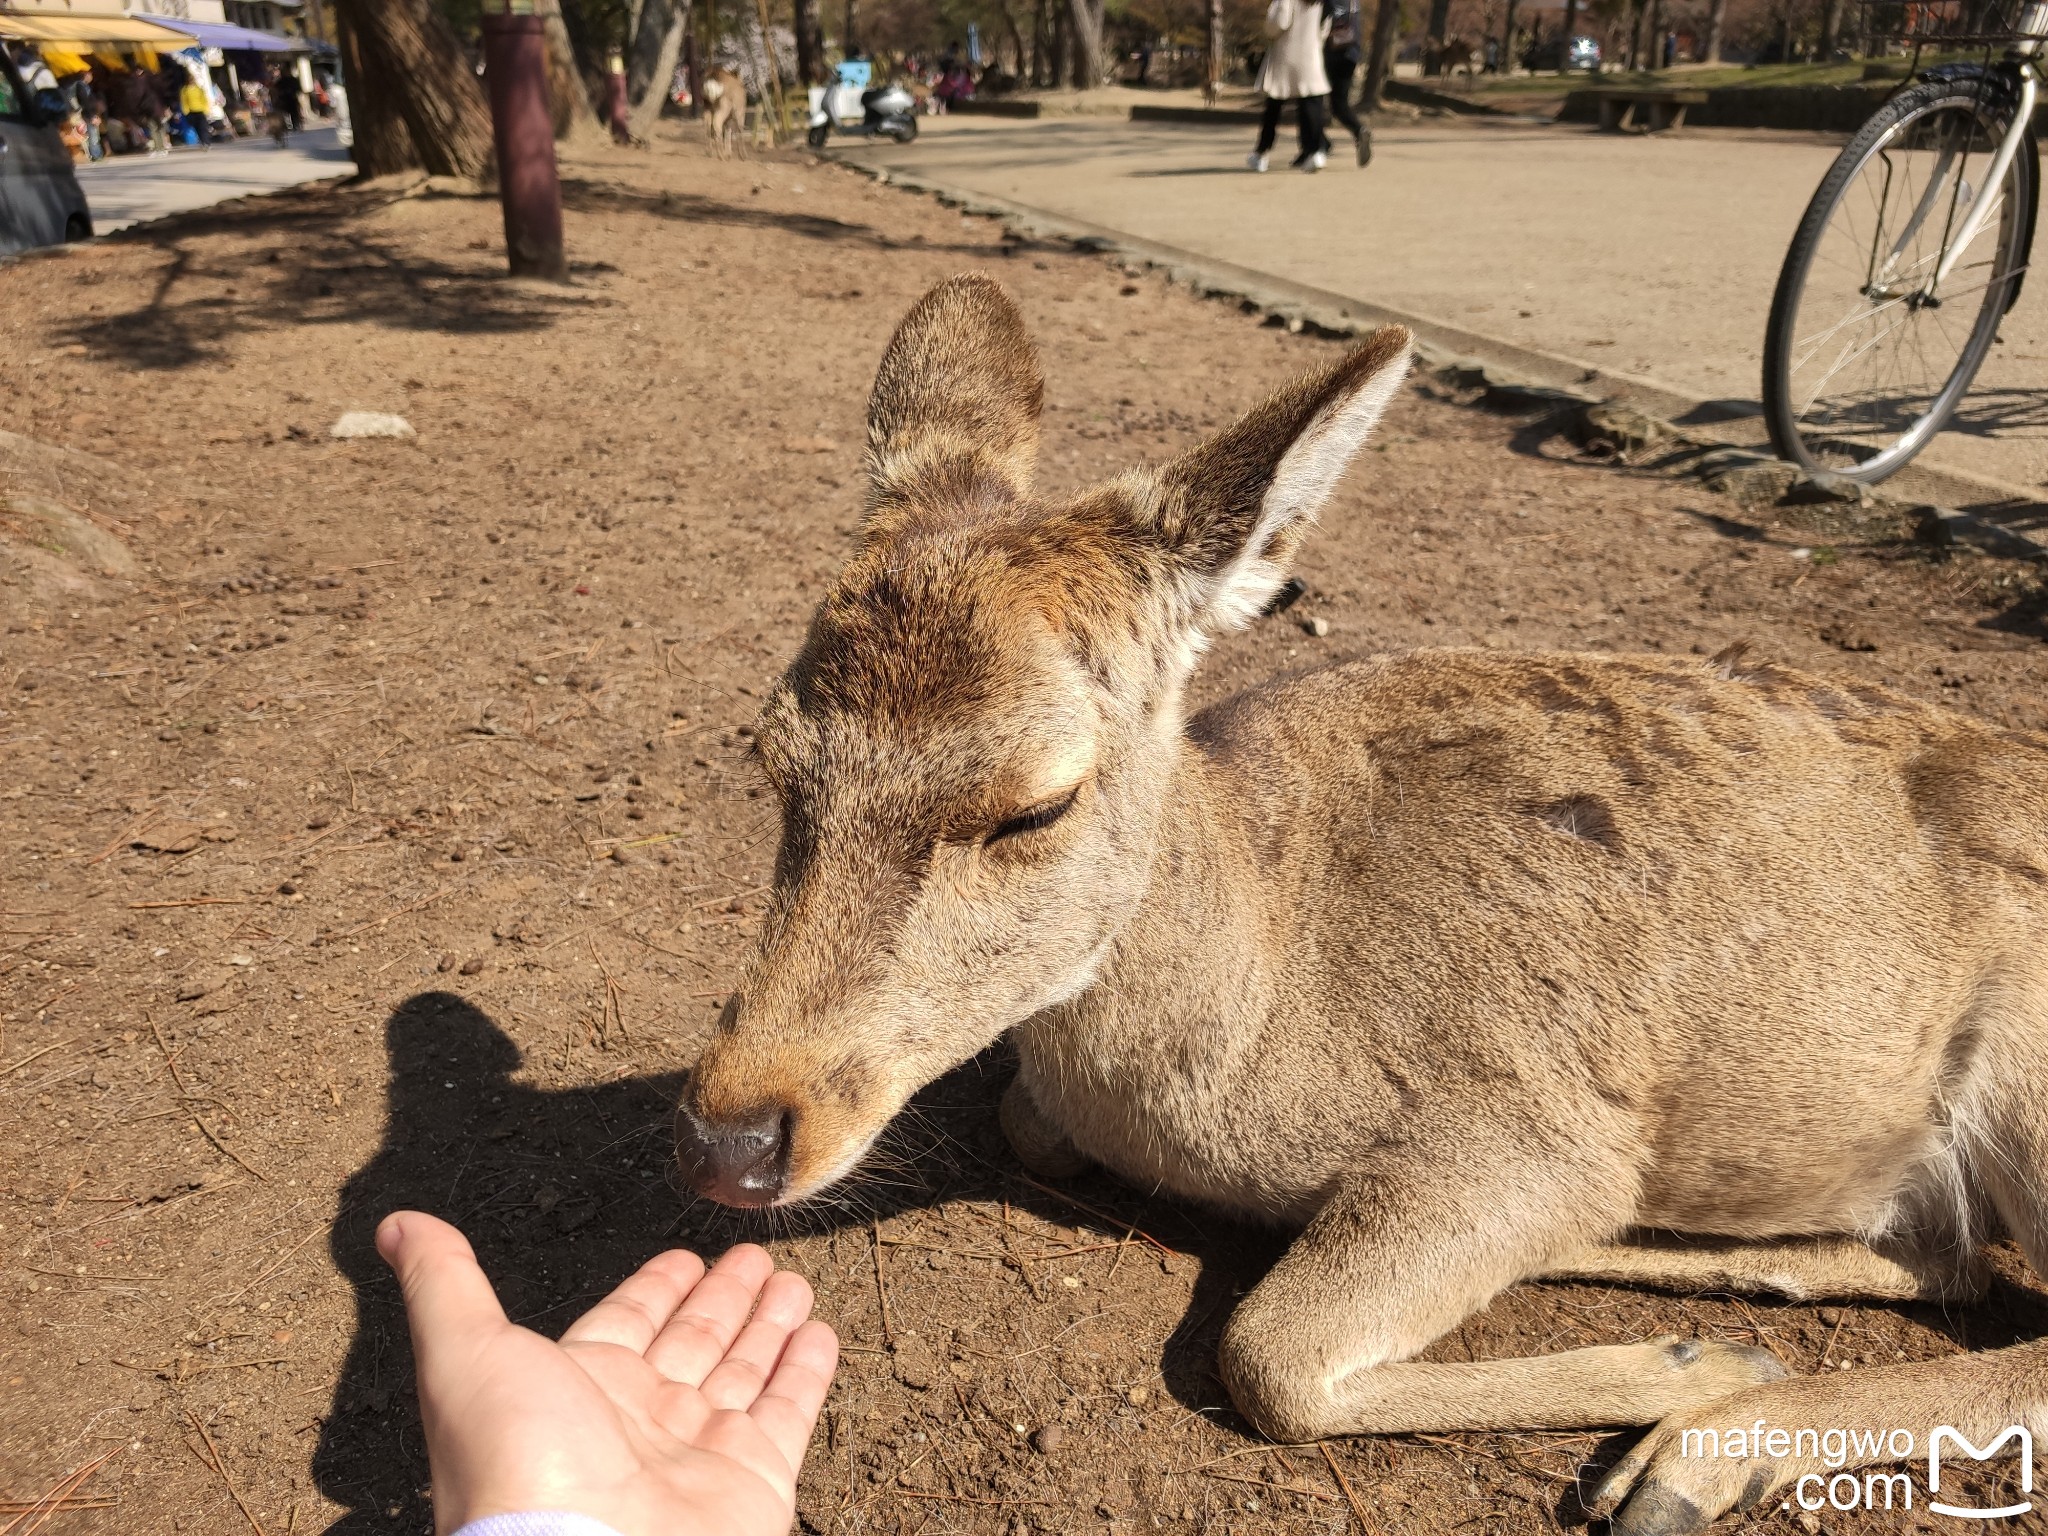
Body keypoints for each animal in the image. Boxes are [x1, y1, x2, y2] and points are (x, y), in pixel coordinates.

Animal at [675, 270, 2048, 1531]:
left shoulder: (1528, 1125)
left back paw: (1695, 1455)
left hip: (2026, 1069)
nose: (732, 1136)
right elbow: (1031, 1126)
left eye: (1035, 804)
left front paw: (1694, 1377)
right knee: (1949, 1258)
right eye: (770, 754)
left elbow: (1267, 1359)